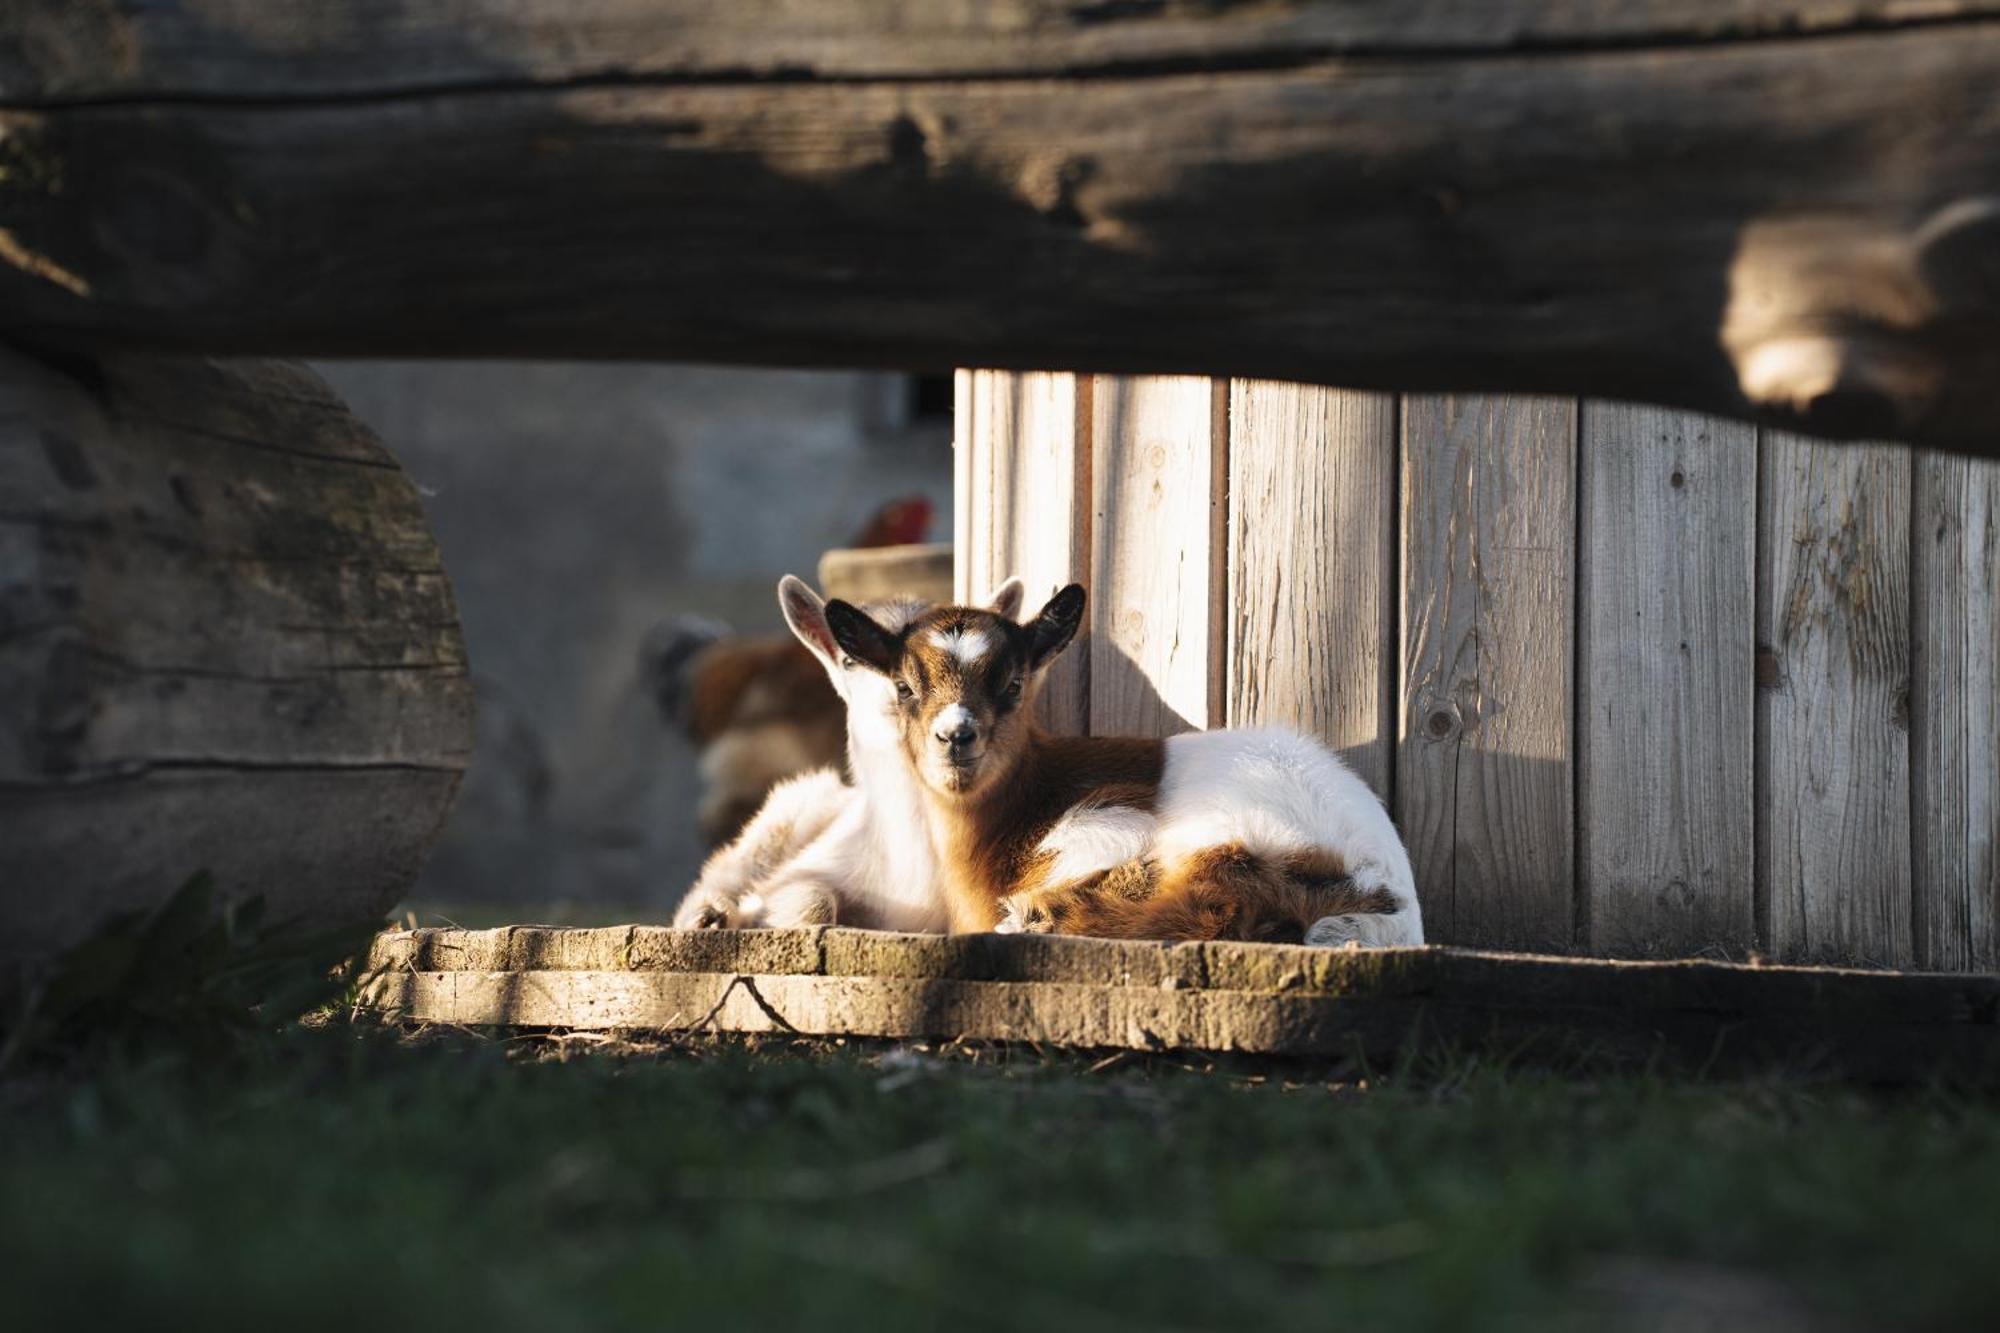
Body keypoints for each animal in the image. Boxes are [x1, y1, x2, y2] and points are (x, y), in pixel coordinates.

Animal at [816, 584, 1424, 944]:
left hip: (1225, 844)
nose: (956, 736)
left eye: (1013, 684)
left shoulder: (1106, 826)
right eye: (904, 687)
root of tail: (1385, 896)